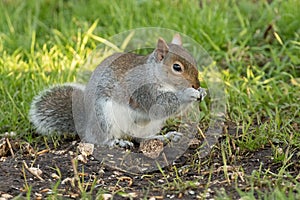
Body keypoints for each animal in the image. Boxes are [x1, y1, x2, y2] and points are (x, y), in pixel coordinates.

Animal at [29, 34, 206, 147]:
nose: (196, 84)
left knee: (139, 138)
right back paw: (115, 142)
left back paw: (163, 137)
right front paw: (187, 94)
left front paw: (202, 92)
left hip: (148, 126)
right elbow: (160, 106)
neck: (155, 74)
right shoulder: (143, 90)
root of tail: (85, 125)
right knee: (98, 139)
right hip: (104, 116)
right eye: (177, 67)